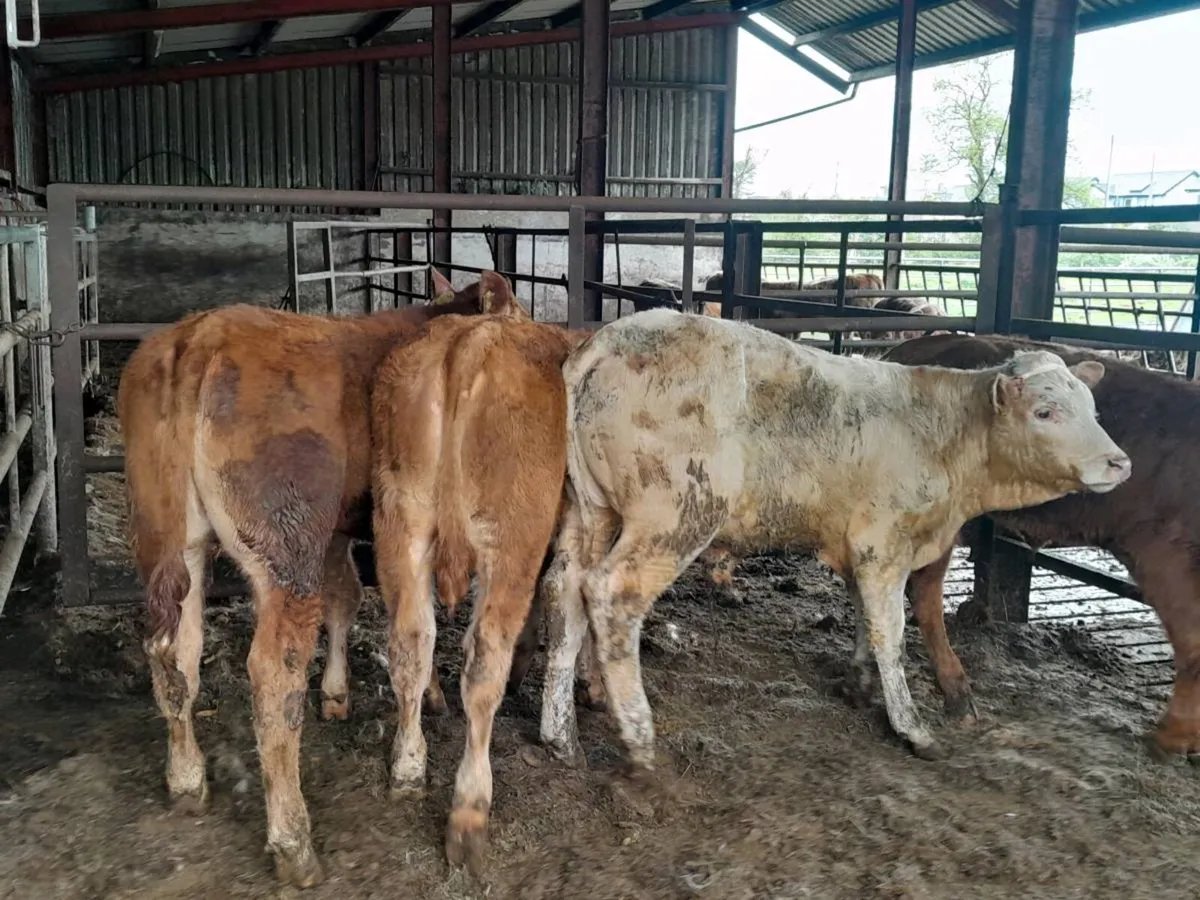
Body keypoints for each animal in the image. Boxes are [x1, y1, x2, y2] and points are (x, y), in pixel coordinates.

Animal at [117, 270, 525, 888]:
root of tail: (199, 337)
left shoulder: (338, 528)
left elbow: (347, 599)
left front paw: (339, 693)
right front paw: (424, 696)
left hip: (170, 539)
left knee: (174, 653)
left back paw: (186, 779)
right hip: (286, 546)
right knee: (272, 673)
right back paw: (293, 842)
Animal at [370, 314, 590, 874]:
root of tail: (473, 340)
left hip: (401, 523)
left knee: (410, 645)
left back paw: (407, 767)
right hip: (509, 540)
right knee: (484, 661)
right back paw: (470, 811)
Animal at [536, 309, 1130, 773]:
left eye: (1094, 410)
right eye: (1045, 412)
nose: (1118, 463)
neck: (943, 434)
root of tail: (614, 338)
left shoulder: (860, 548)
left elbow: (865, 615)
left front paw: (860, 684)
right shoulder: (883, 542)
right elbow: (892, 631)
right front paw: (912, 726)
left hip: (591, 510)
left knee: (566, 591)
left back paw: (560, 733)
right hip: (676, 514)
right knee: (613, 597)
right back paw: (639, 742)